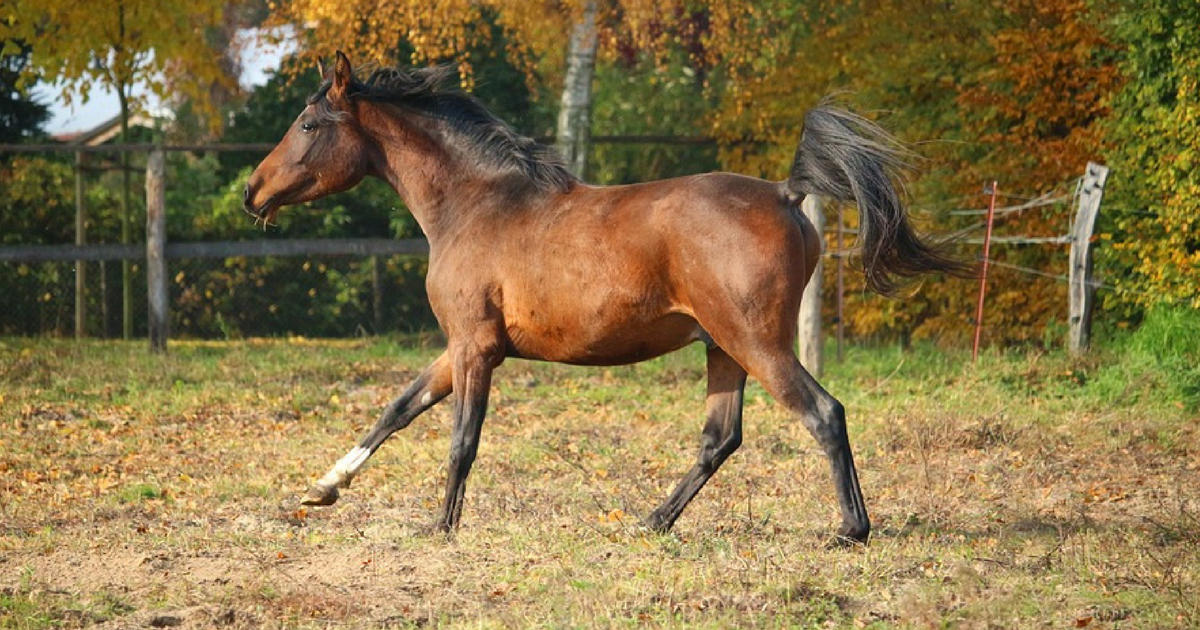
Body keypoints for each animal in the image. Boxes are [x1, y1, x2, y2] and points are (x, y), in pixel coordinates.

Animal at [241, 51, 964, 542]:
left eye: (308, 124)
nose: (253, 192)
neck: (476, 204)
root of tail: (787, 194)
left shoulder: (474, 348)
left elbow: (460, 440)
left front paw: (441, 527)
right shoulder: (461, 347)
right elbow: (396, 410)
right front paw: (321, 489)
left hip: (758, 343)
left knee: (823, 413)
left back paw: (850, 529)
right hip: (723, 348)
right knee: (720, 439)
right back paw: (653, 520)